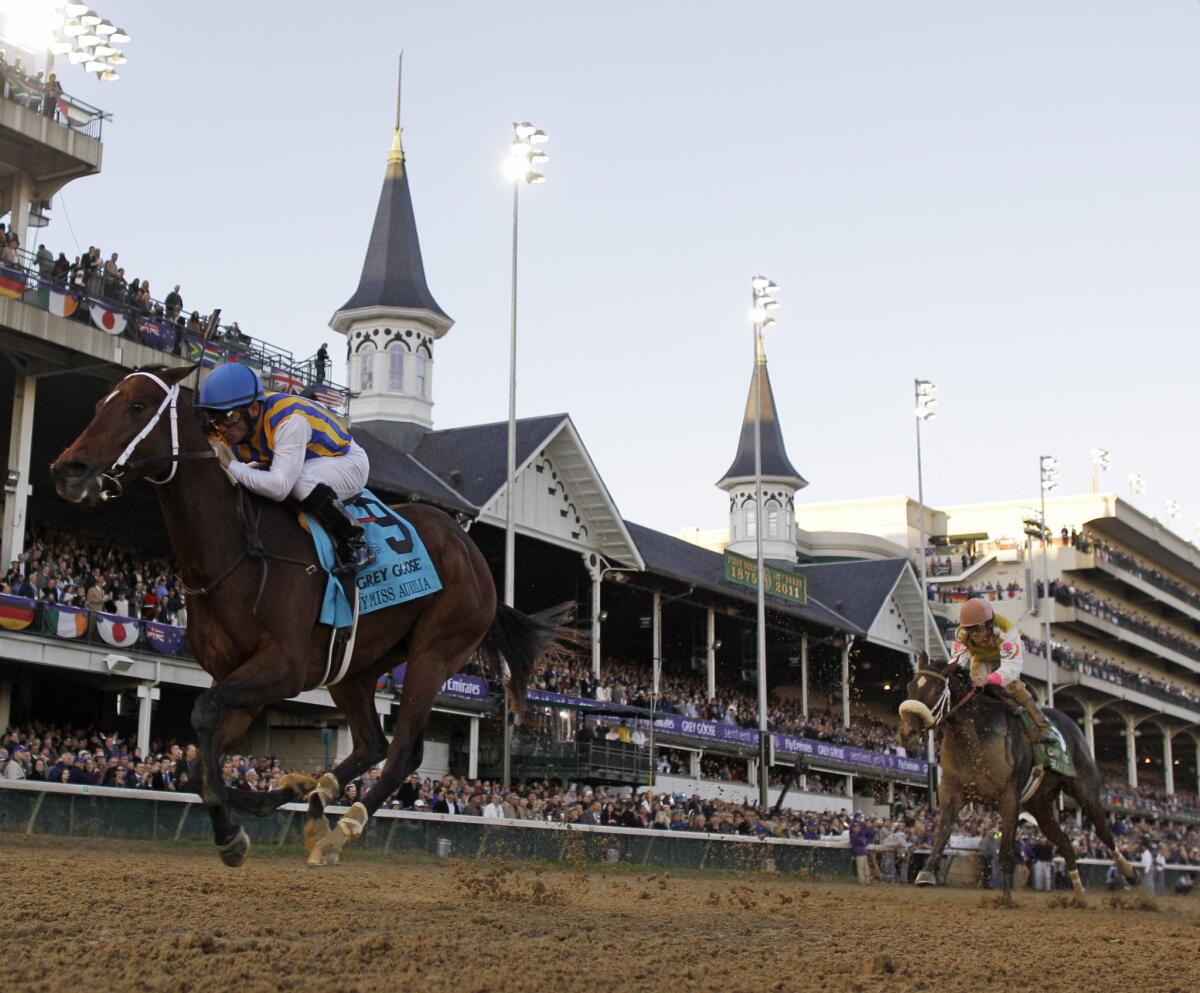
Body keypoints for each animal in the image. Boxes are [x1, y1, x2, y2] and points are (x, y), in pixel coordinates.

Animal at [54, 366, 578, 868]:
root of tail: (474, 555)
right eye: (100, 404)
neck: (237, 555)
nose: (67, 470)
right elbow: (200, 751)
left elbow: (203, 717)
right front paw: (240, 813)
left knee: (402, 753)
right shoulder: (236, 677)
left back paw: (341, 829)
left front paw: (230, 829)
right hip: (355, 665)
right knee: (371, 743)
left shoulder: (284, 668)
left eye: (137, 406)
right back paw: (308, 793)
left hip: (436, 652)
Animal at [897, 657, 1137, 901]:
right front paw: (926, 872)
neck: (976, 734)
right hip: (1040, 806)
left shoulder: (1009, 797)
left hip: (1085, 791)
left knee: (1103, 831)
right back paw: (1079, 897)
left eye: (935, 690)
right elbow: (943, 831)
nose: (906, 733)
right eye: (910, 687)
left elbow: (1006, 852)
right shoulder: (952, 790)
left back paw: (1129, 874)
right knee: (1067, 846)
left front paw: (1006, 899)